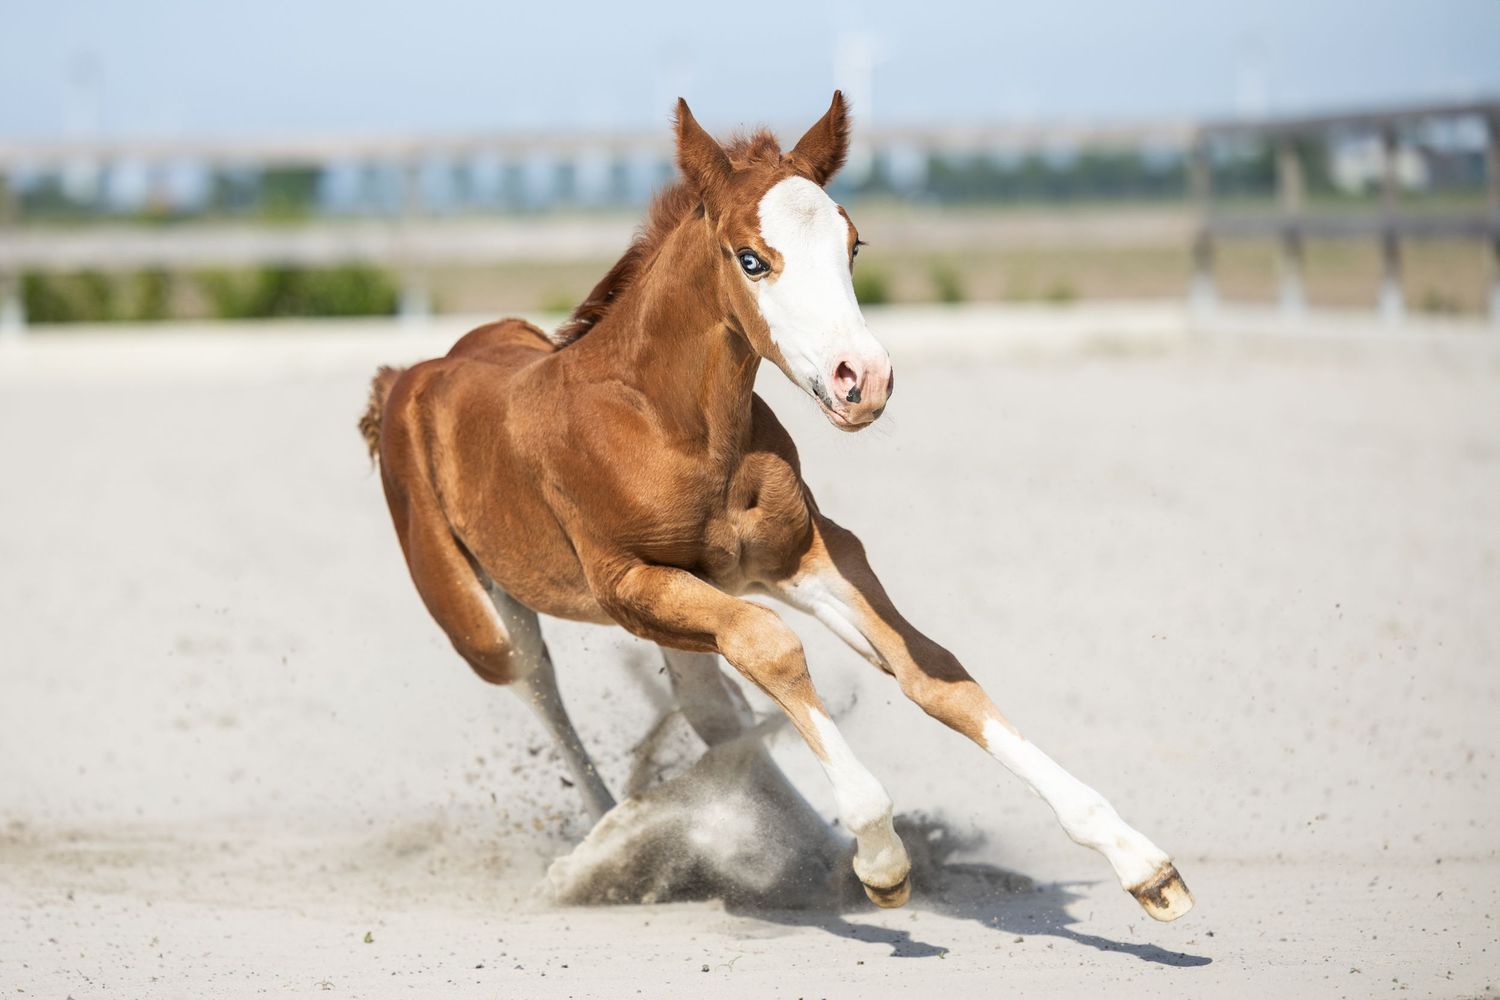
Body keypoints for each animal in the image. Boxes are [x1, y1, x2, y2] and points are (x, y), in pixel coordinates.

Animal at [358, 93, 1193, 920]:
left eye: (852, 245)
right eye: (751, 258)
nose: (864, 379)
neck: (677, 429)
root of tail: (410, 375)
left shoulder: (807, 556)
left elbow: (931, 672)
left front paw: (1140, 861)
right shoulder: (628, 585)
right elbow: (773, 646)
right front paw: (880, 854)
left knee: (710, 705)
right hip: (485, 623)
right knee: (542, 685)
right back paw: (603, 847)